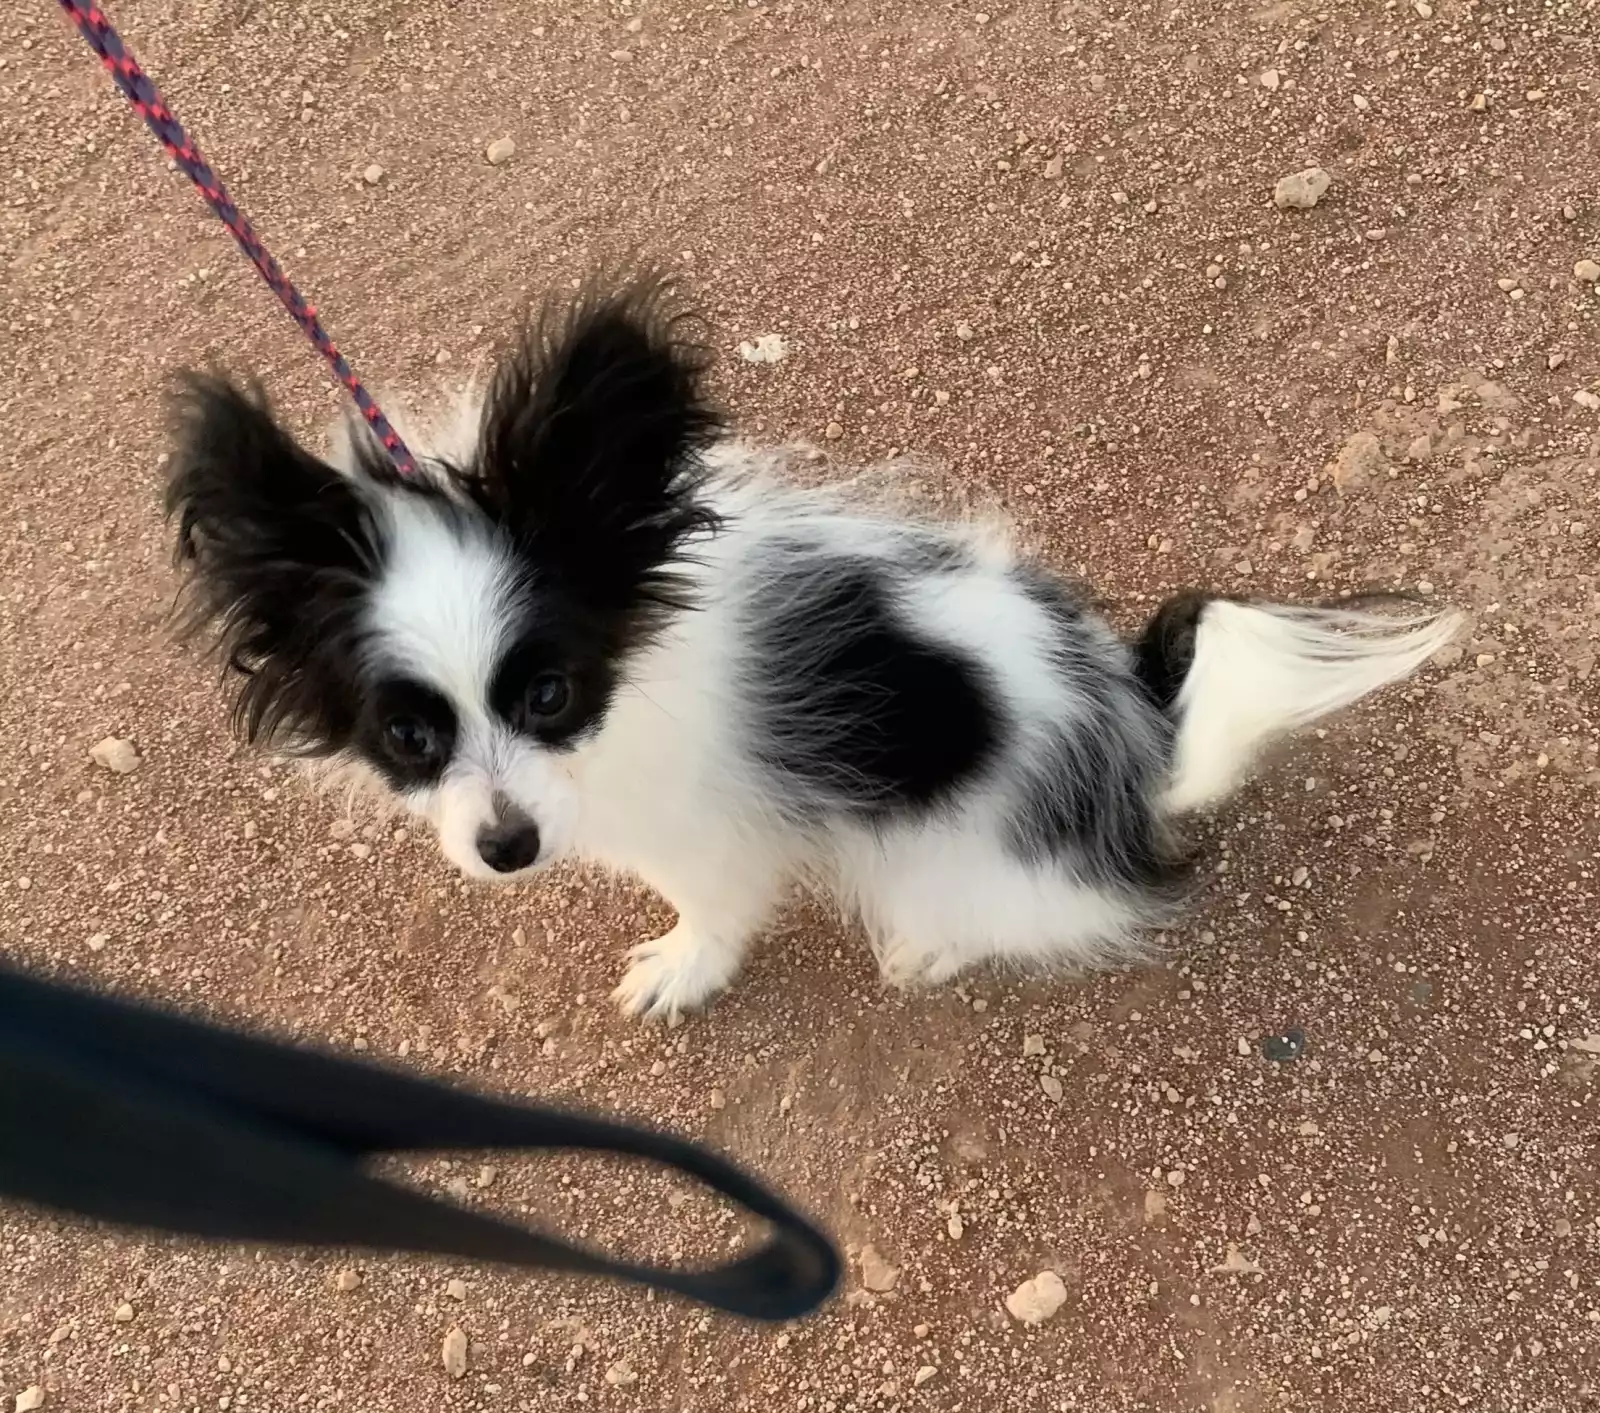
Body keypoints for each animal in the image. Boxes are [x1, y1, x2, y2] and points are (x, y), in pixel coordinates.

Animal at [166, 274, 1462, 1022]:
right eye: (409, 734)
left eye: (548, 694)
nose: (507, 849)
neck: (636, 677)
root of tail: (1139, 731)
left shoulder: (704, 834)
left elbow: (711, 910)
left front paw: (683, 969)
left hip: (947, 853)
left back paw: (932, 948)